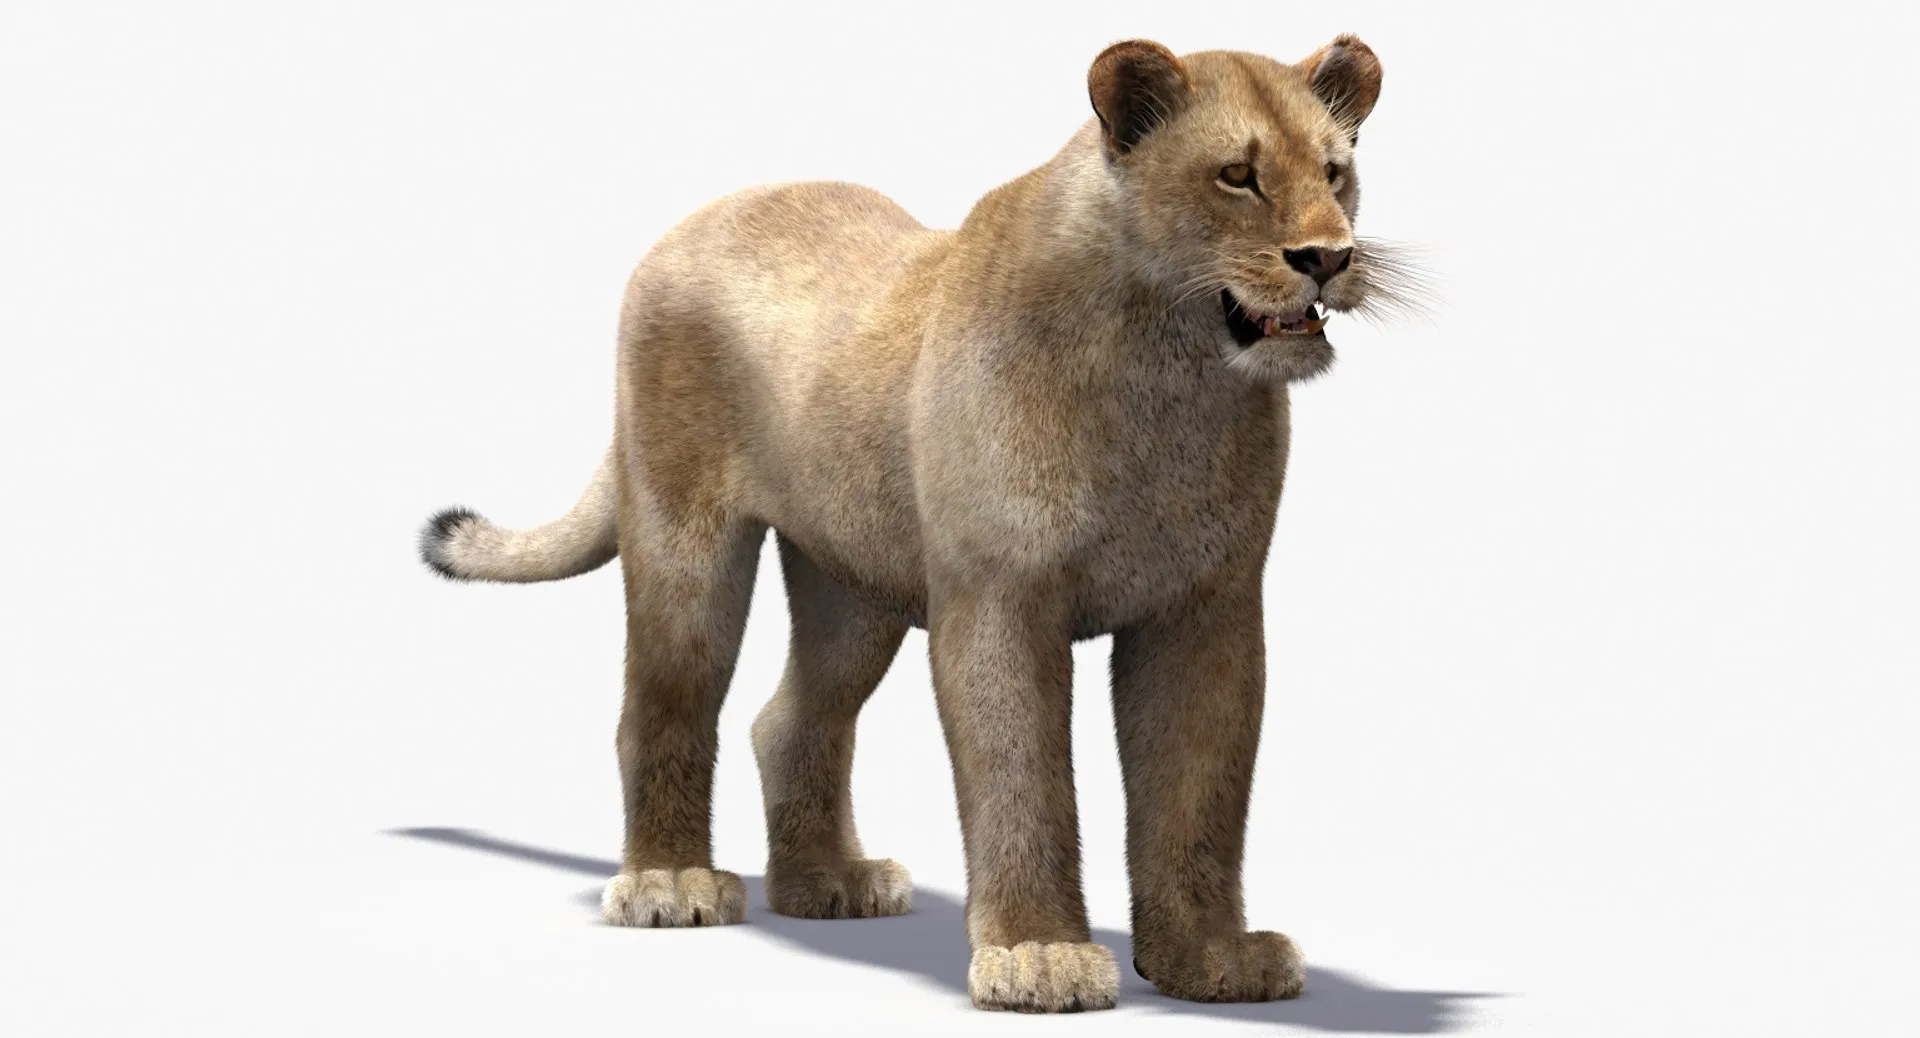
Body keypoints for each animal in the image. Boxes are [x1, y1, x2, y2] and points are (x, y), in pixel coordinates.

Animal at [418, 36, 1407, 1012]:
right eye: (1237, 175)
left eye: (1335, 171)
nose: (1329, 256)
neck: (1171, 380)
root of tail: (695, 221)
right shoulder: (1000, 599)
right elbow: (1021, 779)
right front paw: (1039, 956)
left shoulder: (1206, 609)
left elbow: (1199, 793)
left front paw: (1211, 958)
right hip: (685, 542)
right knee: (664, 700)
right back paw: (669, 883)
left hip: (853, 589)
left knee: (789, 717)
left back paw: (829, 883)